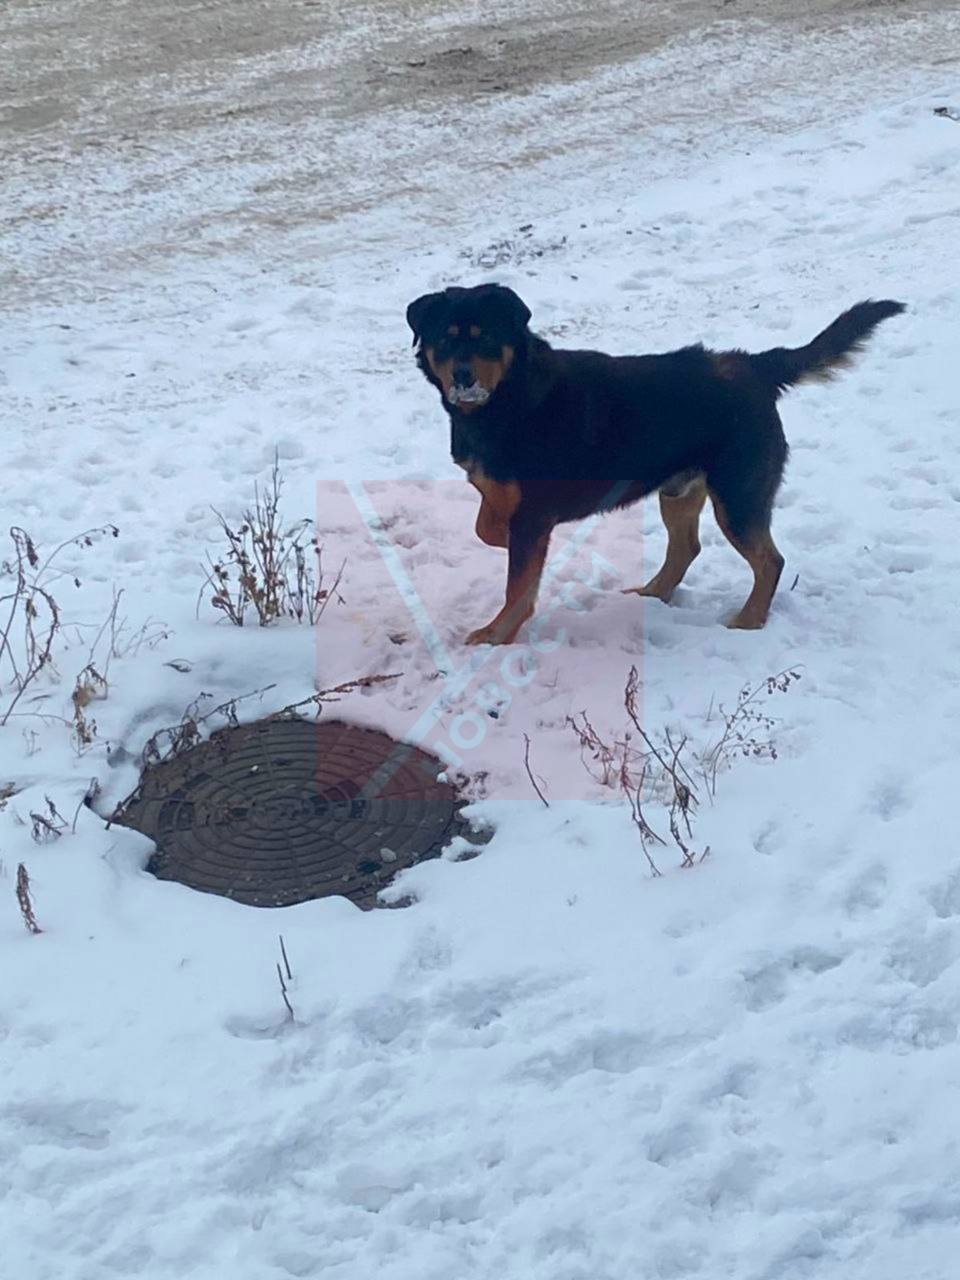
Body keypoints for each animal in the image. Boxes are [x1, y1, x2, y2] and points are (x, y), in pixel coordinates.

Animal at [409, 280, 906, 640]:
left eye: (488, 338)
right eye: (445, 341)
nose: (464, 377)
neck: (507, 399)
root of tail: (754, 367)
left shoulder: (533, 515)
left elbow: (517, 584)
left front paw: (497, 635)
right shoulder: (508, 501)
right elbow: (487, 527)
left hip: (738, 495)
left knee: (770, 561)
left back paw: (747, 621)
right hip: (680, 490)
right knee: (687, 547)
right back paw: (652, 593)